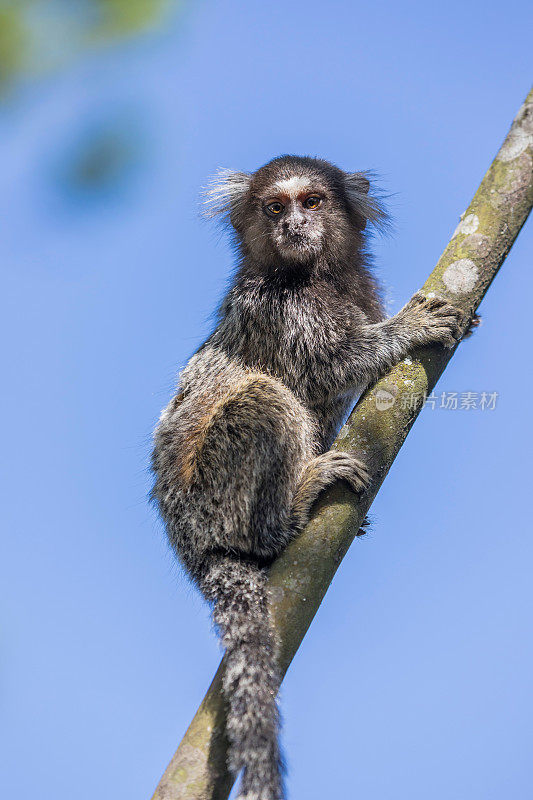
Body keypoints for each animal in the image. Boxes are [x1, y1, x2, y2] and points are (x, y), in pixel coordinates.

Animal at [151, 156, 466, 800]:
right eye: (275, 207)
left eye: (313, 201)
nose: (293, 225)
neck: (316, 278)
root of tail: (193, 548)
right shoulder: (277, 311)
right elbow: (329, 368)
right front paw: (410, 329)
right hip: (213, 492)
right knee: (267, 399)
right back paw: (293, 507)